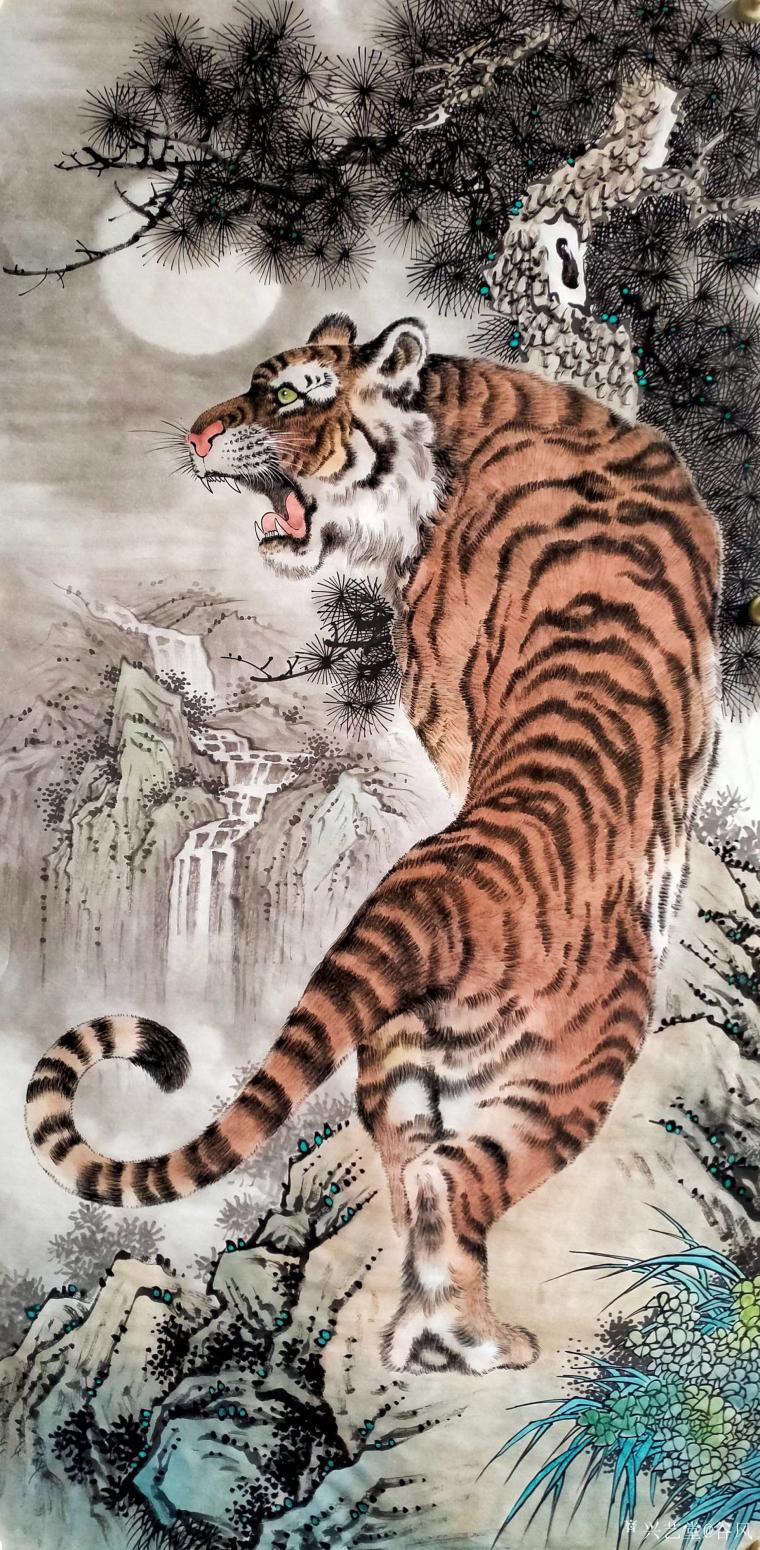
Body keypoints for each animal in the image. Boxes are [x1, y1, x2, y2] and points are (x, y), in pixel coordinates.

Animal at [26, 312, 720, 1375]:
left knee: (414, 1173)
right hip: (582, 1055)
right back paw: (479, 1344)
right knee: (453, 1177)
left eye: (289, 393)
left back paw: (421, 1341)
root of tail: (428, 895)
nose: (195, 435)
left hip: (400, 1063)